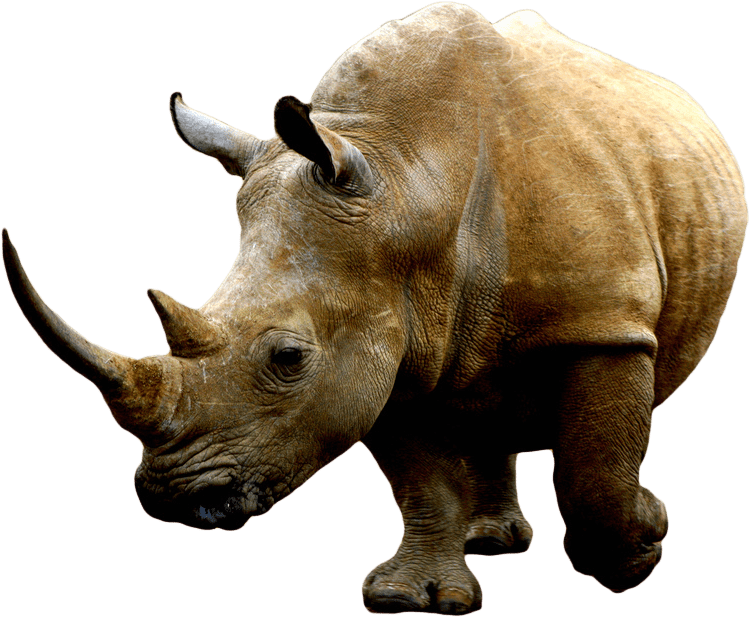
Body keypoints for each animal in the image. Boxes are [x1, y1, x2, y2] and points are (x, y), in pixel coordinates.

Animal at [3, 2, 747, 615]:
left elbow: (594, 470)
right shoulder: (381, 337)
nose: (170, 498)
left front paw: (643, 543)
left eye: (288, 357)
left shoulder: (604, 324)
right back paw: (490, 539)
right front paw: (410, 598)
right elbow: (420, 479)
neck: (409, 181)